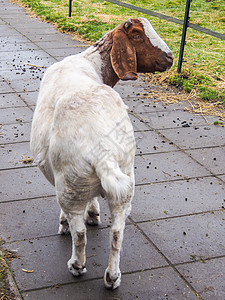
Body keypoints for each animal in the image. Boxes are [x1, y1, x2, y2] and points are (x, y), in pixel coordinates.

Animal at [30, 17, 174, 290]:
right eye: (137, 35)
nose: (171, 58)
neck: (91, 63)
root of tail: (103, 151)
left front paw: (73, 220)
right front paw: (95, 213)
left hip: (70, 186)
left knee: (79, 233)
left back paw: (76, 265)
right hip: (125, 181)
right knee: (117, 233)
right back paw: (113, 277)